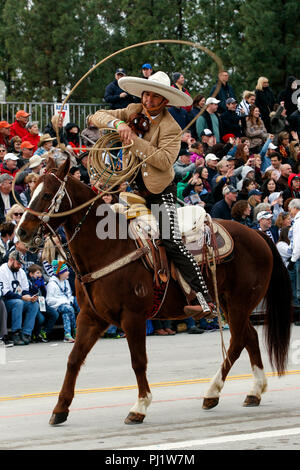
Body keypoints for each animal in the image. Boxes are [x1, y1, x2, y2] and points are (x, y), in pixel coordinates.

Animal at [17, 158, 292, 426]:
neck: (107, 248)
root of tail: (256, 233)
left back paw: (213, 391)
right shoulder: (90, 316)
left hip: (238, 304)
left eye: (47, 194)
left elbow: (138, 361)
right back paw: (253, 391)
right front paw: (60, 408)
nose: (21, 231)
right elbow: (74, 359)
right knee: (249, 337)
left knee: (237, 341)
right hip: (230, 304)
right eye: (31, 191)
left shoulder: (133, 317)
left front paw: (139, 407)